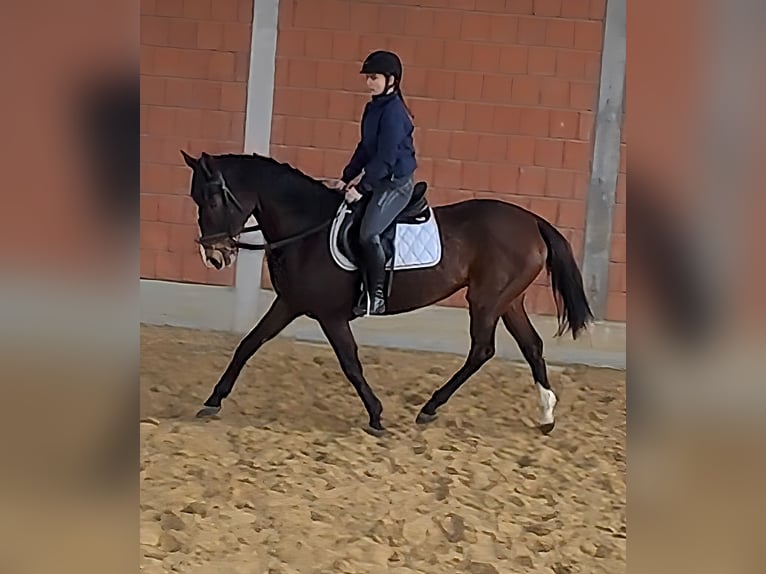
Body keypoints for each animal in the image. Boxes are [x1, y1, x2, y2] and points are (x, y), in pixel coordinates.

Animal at [180, 150, 594, 436]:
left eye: (213, 199)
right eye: (195, 200)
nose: (214, 256)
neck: (307, 228)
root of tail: (532, 221)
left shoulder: (329, 316)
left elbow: (350, 364)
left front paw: (377, 416)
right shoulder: (290, 303)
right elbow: (248, 344)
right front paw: (213, 400)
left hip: (486, 300)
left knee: (482, 350)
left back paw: (430, 407)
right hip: (509, 301)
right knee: (531, 346)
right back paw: (546, 414)